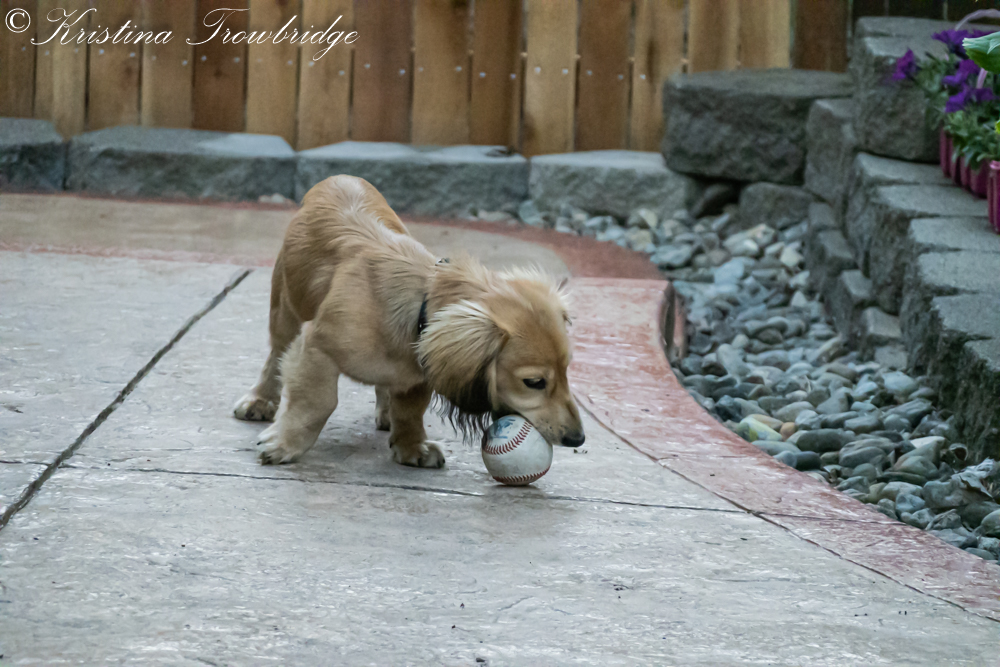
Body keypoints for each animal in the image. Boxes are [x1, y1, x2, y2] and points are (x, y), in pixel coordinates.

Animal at [234, 175, 585, 467]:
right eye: (534, 382)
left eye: (566, 370)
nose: (578, 438)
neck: (421, 305)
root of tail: (337, 178)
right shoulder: (316, 346)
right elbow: (317, 401)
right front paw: (284, 444)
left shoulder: (420, 374)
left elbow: (411, 409)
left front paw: (411, 446)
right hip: (284, 311)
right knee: (275, 357)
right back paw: (260, 400)